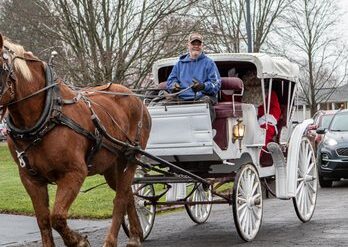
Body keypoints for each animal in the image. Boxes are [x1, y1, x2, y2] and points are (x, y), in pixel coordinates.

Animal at [0, 33, 151, 247]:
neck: (48, 115)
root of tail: (135, 97)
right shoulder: (30, 178)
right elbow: (44, 220)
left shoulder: (74, 173)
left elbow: (57, 216)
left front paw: (78, 241)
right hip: (111, 165)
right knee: (128, 193)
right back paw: (136, 235)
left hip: (131, 157)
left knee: (121, 197)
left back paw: (111, 240)